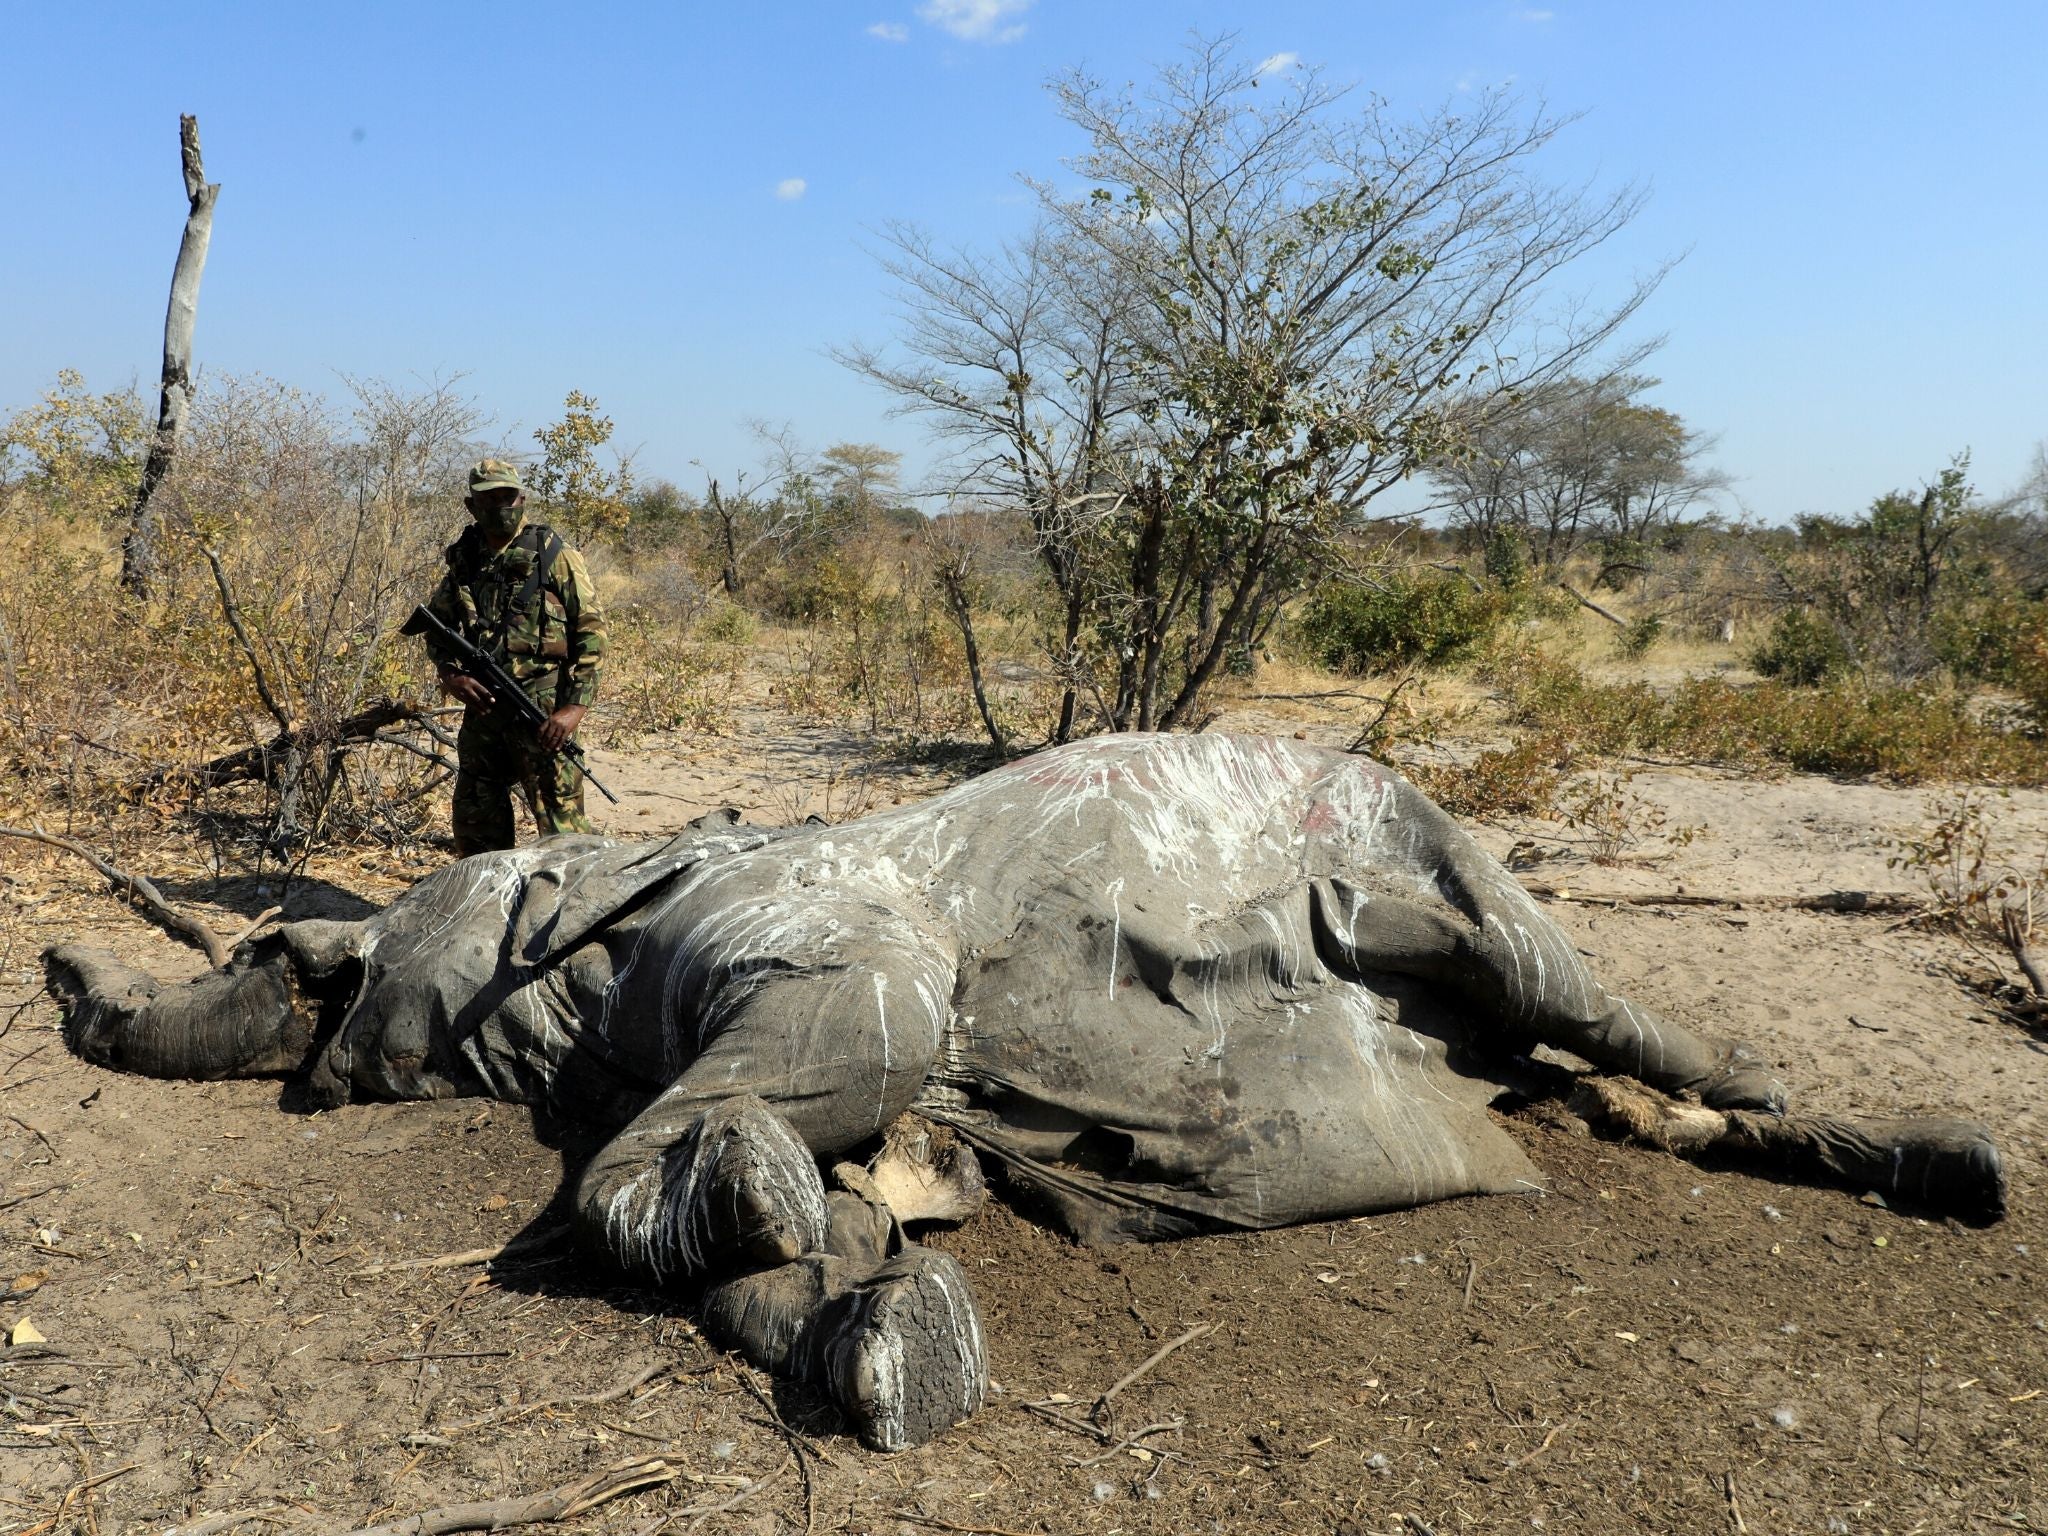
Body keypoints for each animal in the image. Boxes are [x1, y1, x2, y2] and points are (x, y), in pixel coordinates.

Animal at [39, 733, 2007, 1458]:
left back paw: (1945, 1168)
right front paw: (863, 1321)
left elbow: (796, 1087)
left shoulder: (814, 928)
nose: (62, 972)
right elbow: (841, 1203)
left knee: (1605, 1009)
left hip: (1436, 859)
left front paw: (754, 1216)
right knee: (1592, 1080)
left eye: (309, 959)